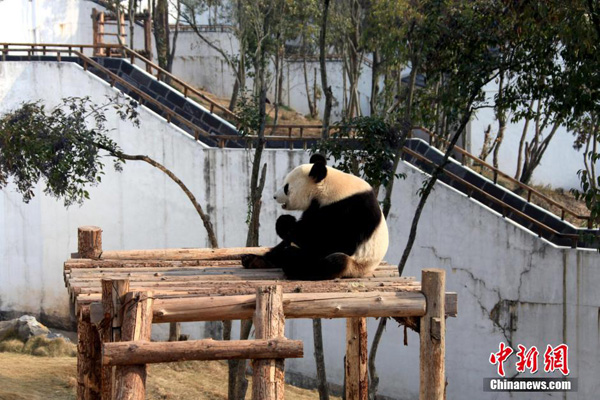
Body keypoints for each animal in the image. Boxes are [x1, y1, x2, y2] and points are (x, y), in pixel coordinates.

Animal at [243, 154, 390, 282]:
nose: (274, 196)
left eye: (286, 187)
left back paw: (295, 265)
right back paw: (254, 260)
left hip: (357, 265)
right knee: (282, 247)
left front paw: (285, 222)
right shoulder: (316, 208)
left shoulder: (351, 209)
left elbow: (332, 240)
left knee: (335, 262)